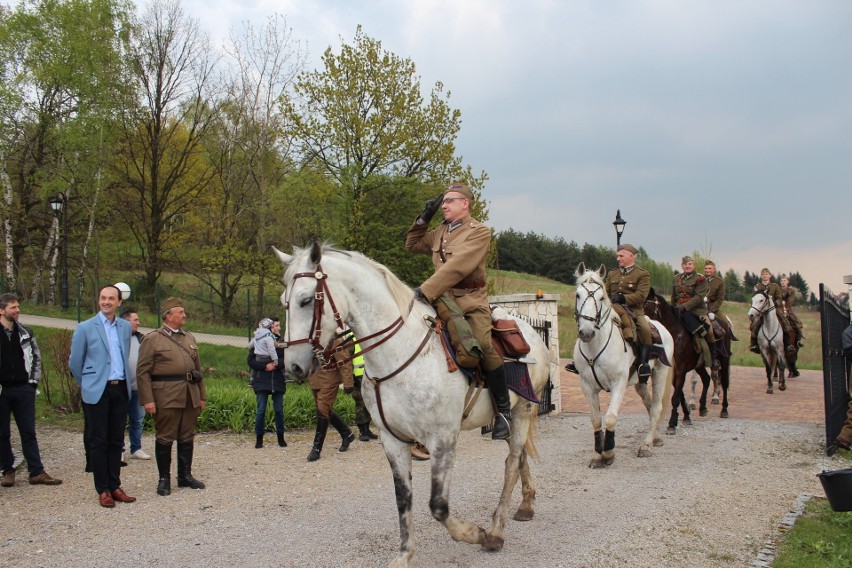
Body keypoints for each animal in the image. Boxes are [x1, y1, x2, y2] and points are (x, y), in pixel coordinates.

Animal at [274, 242, 552, 564]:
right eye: (284, 302)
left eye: (306, 300)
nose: (292, 367)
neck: (398, 353)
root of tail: (531, 333)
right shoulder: (392, 440)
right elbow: (403, 497)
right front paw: (405, 554)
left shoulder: (442, 440)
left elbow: (438, 506)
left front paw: (475, 534)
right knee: (519, 458)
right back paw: (525, 505)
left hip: (522, 411)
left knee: (511, 464)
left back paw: (495, 531)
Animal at [572, 264, 672, 468]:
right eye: (578, 295)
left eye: (602, 297)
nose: (586, 332)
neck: (595, 347)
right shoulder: (586, 385)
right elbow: (596, 419)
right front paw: (598, 454)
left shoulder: (618, 383)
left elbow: (610, 417)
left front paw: (608, 454)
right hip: (640, 381)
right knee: (649, 404)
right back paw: (656, 437)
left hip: (660, 373)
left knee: (656, 407)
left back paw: (646, 444)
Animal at [644, 288, 732, 434]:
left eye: (647, 307)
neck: (674, 336)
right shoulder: (674, 370)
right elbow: (679, 393)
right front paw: (685, 416)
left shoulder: (681, 369)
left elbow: (675, 397)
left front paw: (672, 424)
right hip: (699, 365)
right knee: (706, 379)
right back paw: (702, 407)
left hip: (724, 360)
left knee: (724, 382)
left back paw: (724, 409)